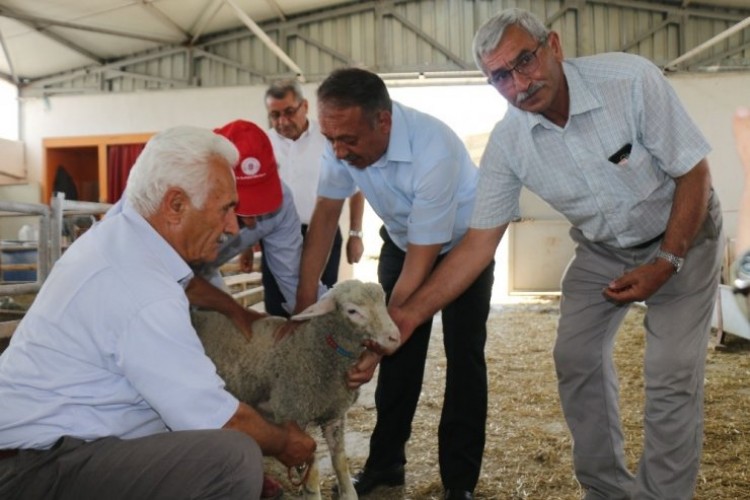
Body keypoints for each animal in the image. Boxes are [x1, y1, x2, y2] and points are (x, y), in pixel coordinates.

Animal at [194, 280, 406, 500]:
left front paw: (348, 493)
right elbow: (311, 474)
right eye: (352, 311)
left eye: (383, 302)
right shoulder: (296, 414)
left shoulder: (335, 415)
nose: (394, 338)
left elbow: (340, 461)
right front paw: (312, 492)